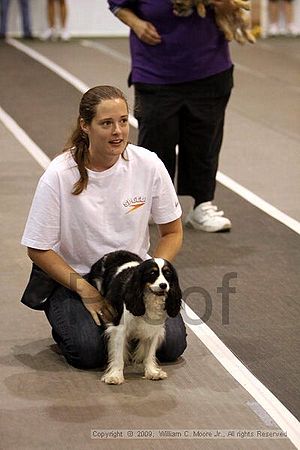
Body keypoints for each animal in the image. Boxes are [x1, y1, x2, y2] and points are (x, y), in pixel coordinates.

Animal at [85, 250, 182, 384]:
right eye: (152, 273)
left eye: (168, 273)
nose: (163, 285)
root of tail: (112, 253)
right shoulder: (120, 329)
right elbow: (118, 355)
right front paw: (115, 376)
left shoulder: (155, 330)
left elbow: (149, 354)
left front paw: (152, 372)